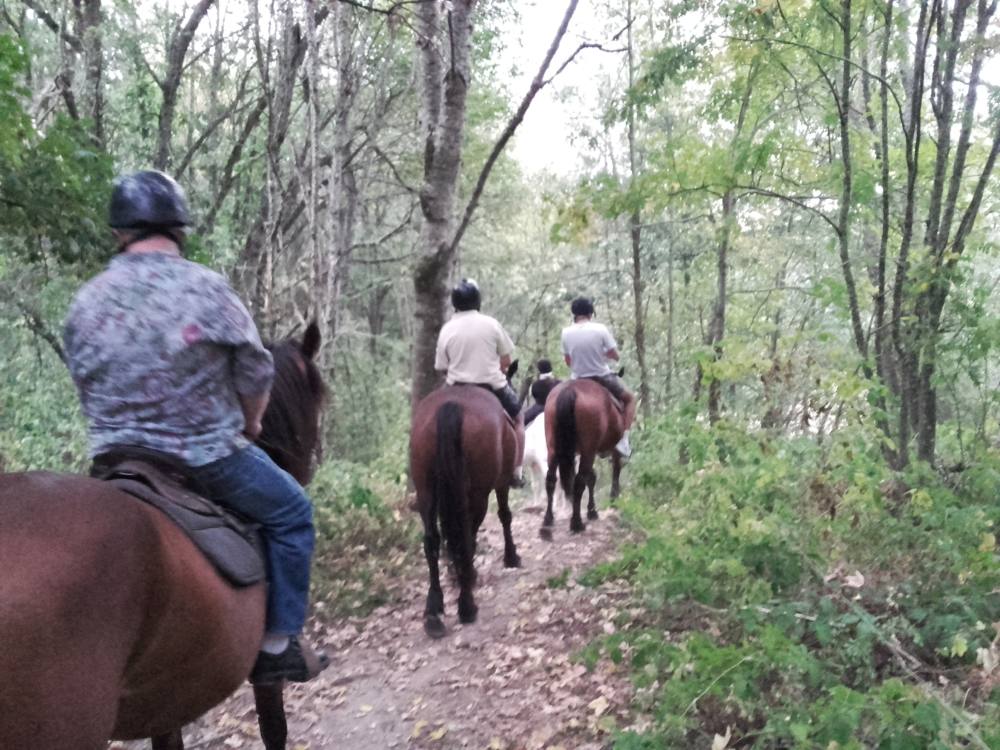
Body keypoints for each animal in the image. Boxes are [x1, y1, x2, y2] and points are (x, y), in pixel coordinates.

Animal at [410, 371, 523, 639]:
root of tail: (451, 407)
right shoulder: (501, 482)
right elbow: (504, 515)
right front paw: (511, 556)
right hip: (477, 491)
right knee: (466, 535)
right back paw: (467, 604)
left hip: (426, 490)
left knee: (432, 540)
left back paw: (434, 611)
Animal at [541, 378, 625, 539]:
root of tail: (569, 391)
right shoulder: (610, 447)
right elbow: (612, 470)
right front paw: (610, 500)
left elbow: (592, 477)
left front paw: (592, 510)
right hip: (588, 449)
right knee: (579, 482)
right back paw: (576, 523)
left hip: (553, 447)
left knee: (551, 479)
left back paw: (548, 519)